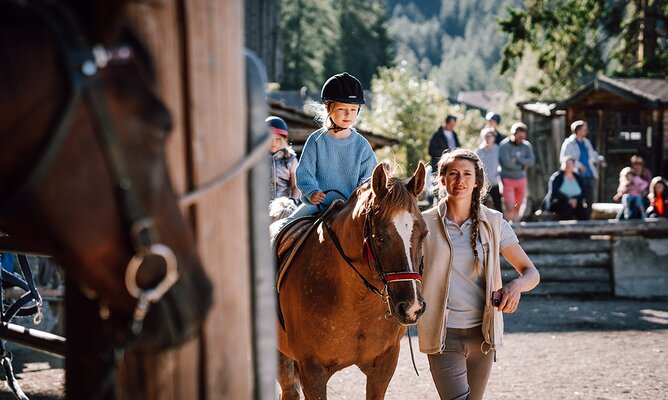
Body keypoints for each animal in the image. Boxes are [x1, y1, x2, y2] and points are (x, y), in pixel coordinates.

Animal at [276, 162, 428, 400]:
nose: (412, 307)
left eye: (424, 234)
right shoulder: (311, 370)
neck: (356, 299)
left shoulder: (384, 364)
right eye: (380, 238)